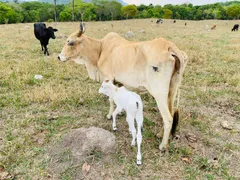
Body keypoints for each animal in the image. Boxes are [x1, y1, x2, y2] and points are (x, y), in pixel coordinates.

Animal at [57, 22, 188, 152]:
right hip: (172, 90)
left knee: (168, 118)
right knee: (171, 113)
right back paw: (160, 135)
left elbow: (110, 100)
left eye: (70, 42)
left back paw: (163, 145)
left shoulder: (108, 78)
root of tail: (170, 46)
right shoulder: (118, 82)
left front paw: (109, 115)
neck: (100, 49)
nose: (59, 57)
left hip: (159, 93)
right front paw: (119, 112)